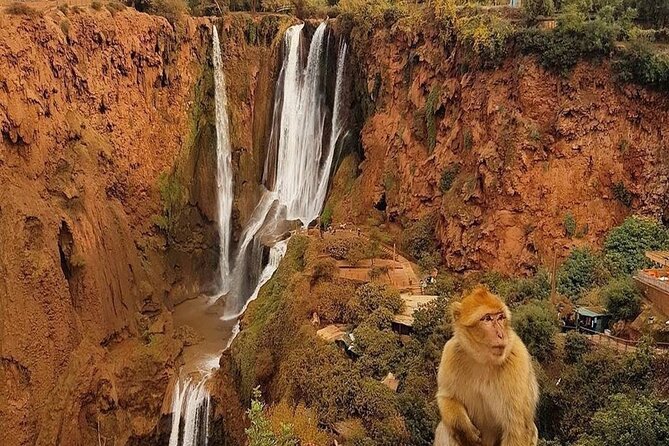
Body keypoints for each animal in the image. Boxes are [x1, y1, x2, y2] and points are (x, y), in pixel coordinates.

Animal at [434, 286, 536, 446]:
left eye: (500, 317)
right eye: (487, 318)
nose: (501, 334)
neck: (483, 360)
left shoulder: (518, 359)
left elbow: (517, 429)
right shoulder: (450, 353)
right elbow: (446, 396)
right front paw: (465, 429)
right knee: (445, 428)